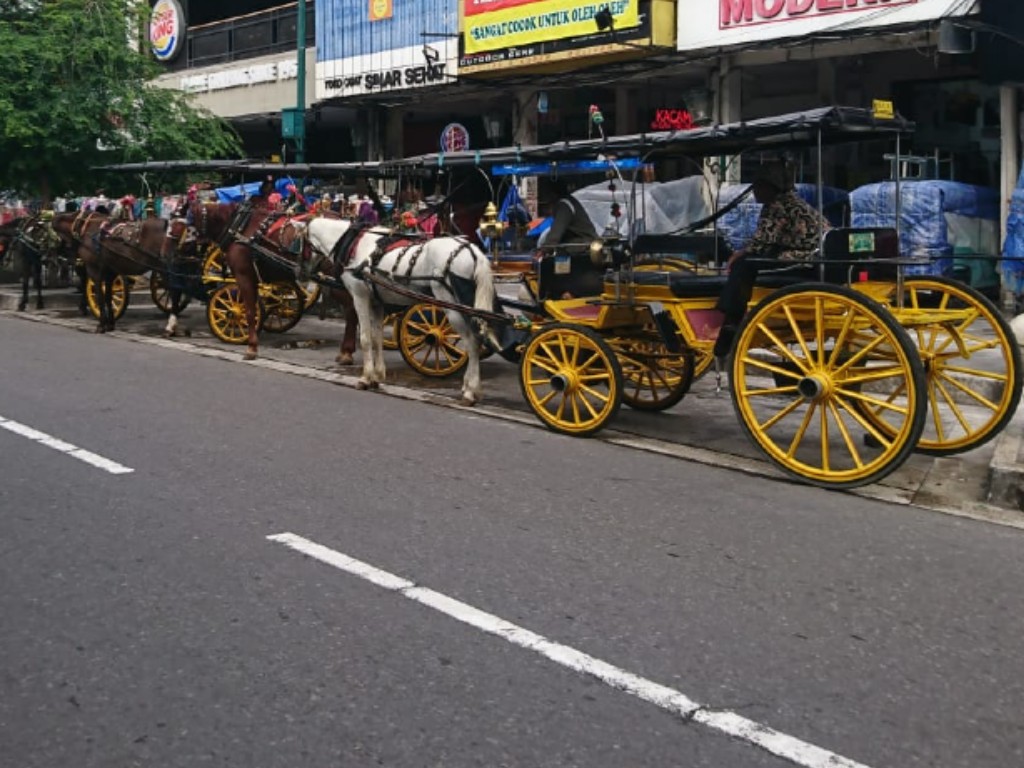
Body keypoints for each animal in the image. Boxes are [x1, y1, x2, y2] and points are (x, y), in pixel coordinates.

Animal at [301, 218, 497, 403]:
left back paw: (470, 391)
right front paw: (377, 376)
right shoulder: (377, 303)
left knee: (472, 342)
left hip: (452, 306)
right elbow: (376, 339)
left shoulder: (360, 297)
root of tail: (473, 251)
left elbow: (365, 339)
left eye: (302, 243)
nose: (302, 272)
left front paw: (365, 378)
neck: (355, 246)